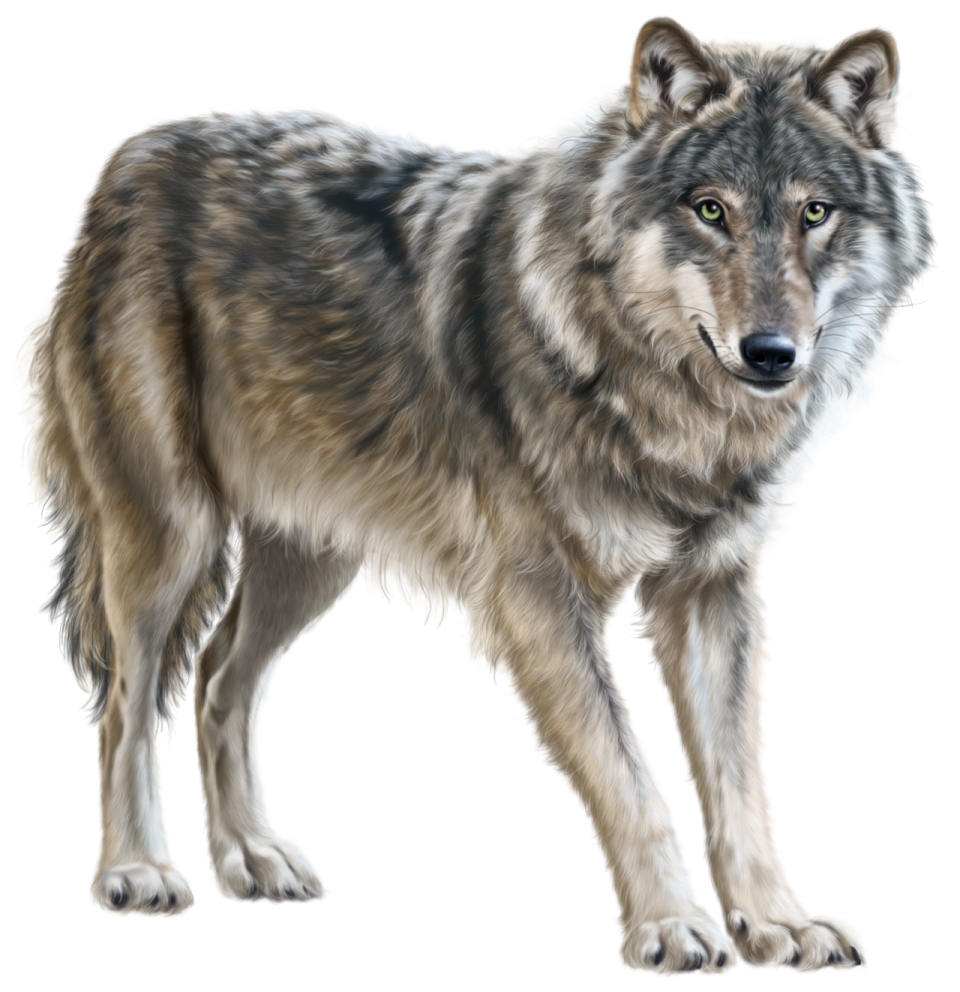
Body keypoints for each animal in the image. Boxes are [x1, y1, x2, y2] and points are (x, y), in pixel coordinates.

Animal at [15, 14, 931, 975]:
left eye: (814, 213)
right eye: (709, 209)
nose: (771, 353)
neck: (657, 397)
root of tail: (135, 156)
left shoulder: (714, 592)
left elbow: (742, 786)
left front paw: (777, 923)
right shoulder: (538, 599)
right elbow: (631, 776)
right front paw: (673, 928)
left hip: (310, 562)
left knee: (222, 677)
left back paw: (253, 860)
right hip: (171, 540)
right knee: (126, 700)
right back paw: (138, 872)